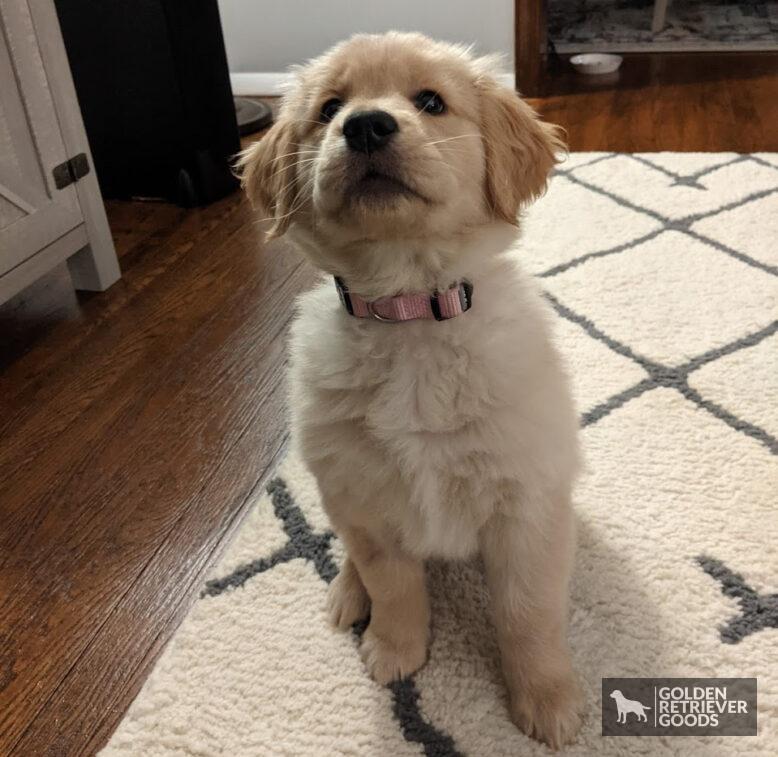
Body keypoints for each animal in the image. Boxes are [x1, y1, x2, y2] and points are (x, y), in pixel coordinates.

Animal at [239, 32, 580, 748]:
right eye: (329, 109)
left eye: (431, 102)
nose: (365, 124)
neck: (408, 314)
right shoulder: (365, 500)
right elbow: (393, 584)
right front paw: (395, 650)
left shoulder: (526, 505)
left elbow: (529, 612)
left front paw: (546, 698)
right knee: (350, 554)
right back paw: (347, 593)